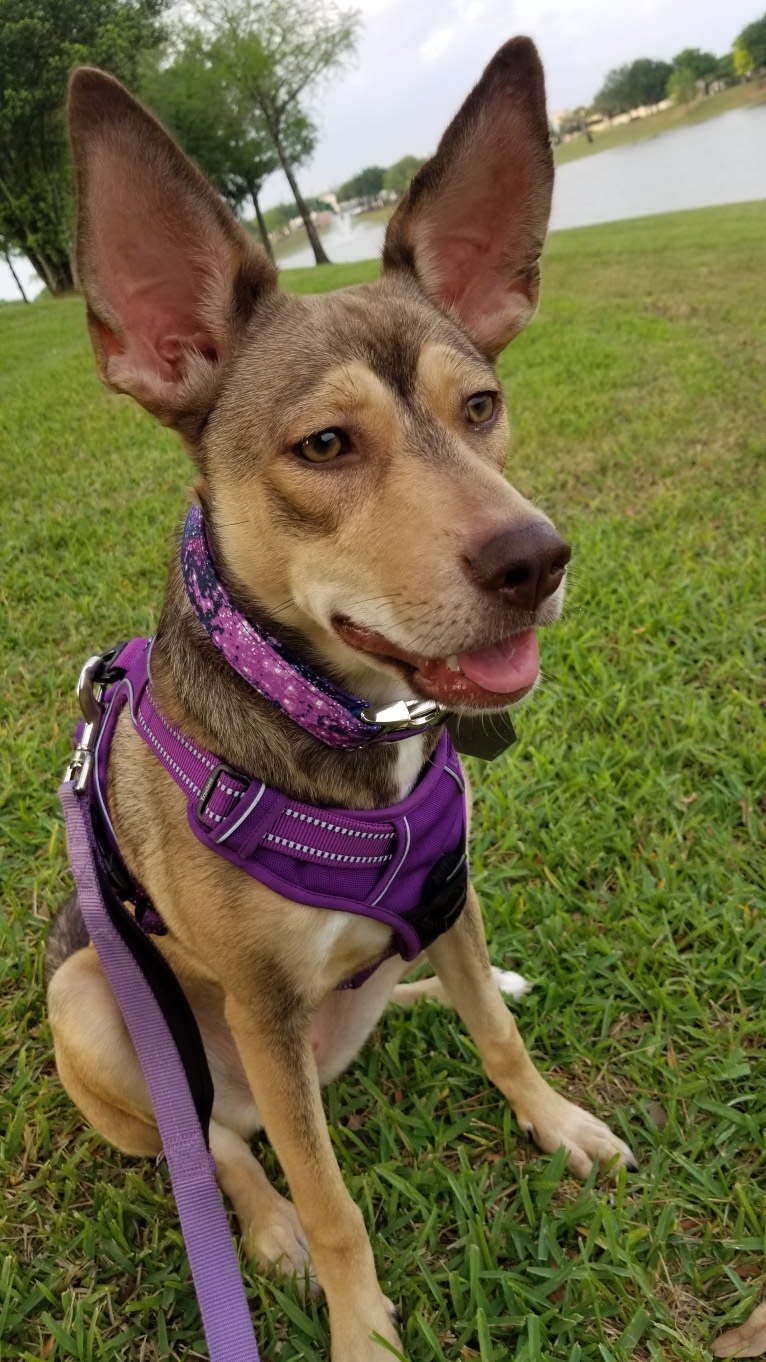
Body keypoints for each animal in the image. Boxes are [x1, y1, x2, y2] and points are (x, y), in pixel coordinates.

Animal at [46, 39, 632, 1362]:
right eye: (323, 446)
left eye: (481, 407)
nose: (535, 560)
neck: (354, 731)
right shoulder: (261, 1007)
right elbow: (330, 1201)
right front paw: (360, 1327)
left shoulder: (451, 891)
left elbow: (500, 1042)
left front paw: (557, 1121)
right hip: (99, 1006)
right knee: (218, 1147)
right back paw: (261, 1230)